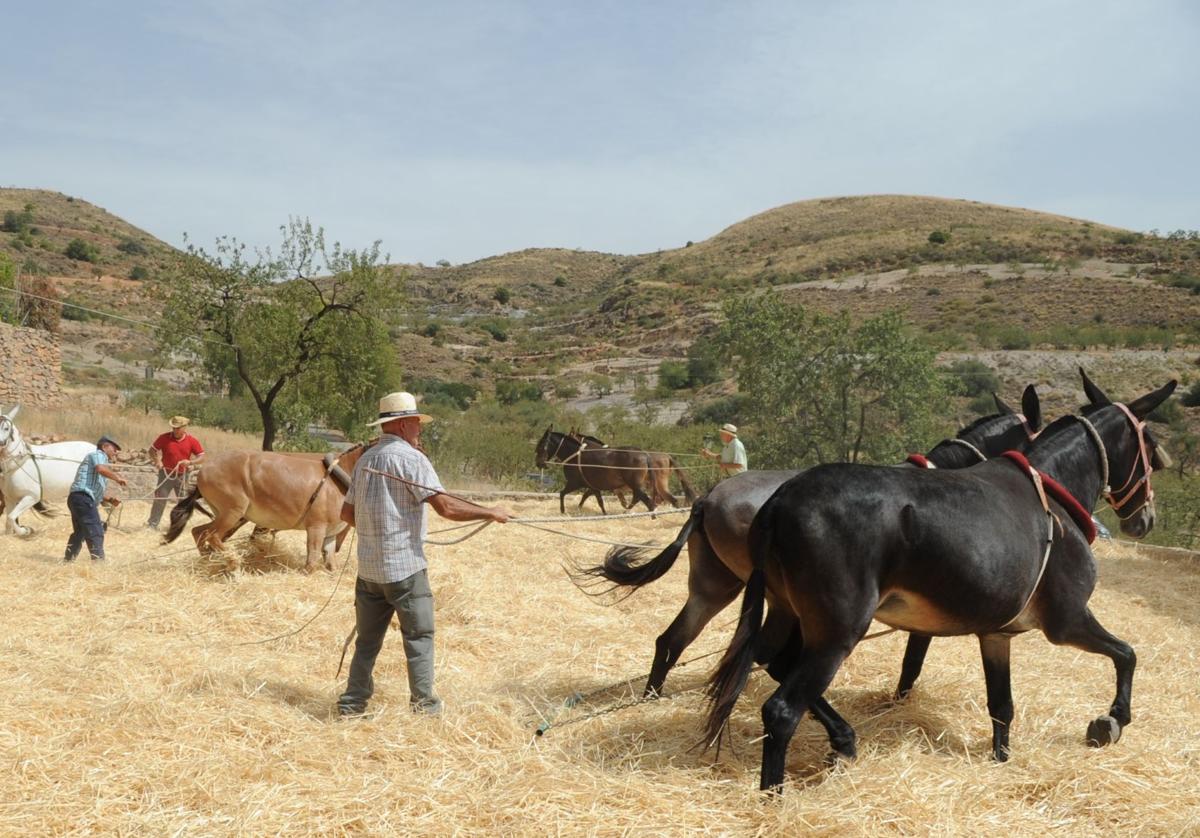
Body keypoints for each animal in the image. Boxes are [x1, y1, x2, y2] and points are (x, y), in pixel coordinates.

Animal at [0, 405, 96, 535]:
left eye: (6, 428)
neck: (17, 466)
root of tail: (96, 448)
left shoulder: (32, 496)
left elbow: (11, 518)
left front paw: (25, 531)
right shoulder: (9, 498)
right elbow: (9, 521)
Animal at [163, 444, 369, 569]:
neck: (337, 480)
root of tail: (205, 468)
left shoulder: (330, 534)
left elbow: (331, 564)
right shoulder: (316, 528)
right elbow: (311, 562)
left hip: (225, 515)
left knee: (199, 532)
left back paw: (209, 560)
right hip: (233, 512)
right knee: (212, 536)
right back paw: (232, 561)